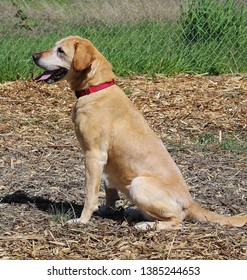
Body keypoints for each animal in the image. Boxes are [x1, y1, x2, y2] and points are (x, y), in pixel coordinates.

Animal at [32, 36, 247, 231]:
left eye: (61, 51)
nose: (34, 56)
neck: (95, 89)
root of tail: (190, 203)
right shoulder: (106, 164)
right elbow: (109, 192)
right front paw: (107, 210)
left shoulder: (94, 155)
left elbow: (89, 194)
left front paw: (82, 220)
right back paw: (135, 212)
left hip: (138, 184)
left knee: (176, 221)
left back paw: (146, 226)